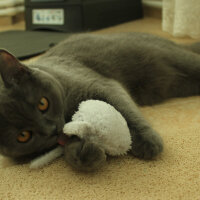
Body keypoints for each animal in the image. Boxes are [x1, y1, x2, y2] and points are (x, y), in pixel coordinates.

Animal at [0, 32, 199, 170]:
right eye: (23, 136)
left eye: (43, 103)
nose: (52, 130)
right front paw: (84, 154)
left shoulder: (98, 85)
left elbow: (125, 110)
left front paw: (148, 142)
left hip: (176, 58)